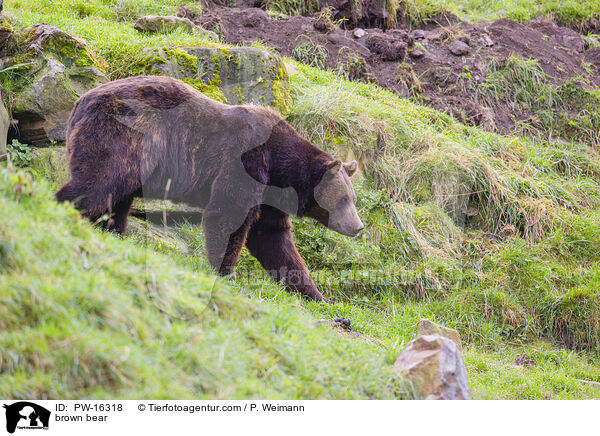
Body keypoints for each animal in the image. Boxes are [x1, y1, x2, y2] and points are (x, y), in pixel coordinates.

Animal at [56, 76, 364, 300]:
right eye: (344, 199)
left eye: (352, 198)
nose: (359, 227)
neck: (280, 167)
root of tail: (79, 101)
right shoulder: (246, 162)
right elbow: (227, 214)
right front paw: (226, 272)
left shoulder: (268, 195)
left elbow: (274, 240)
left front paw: (316, 294)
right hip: (123, 135)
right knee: (98, 183)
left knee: (116, 199)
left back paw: (113, 232)